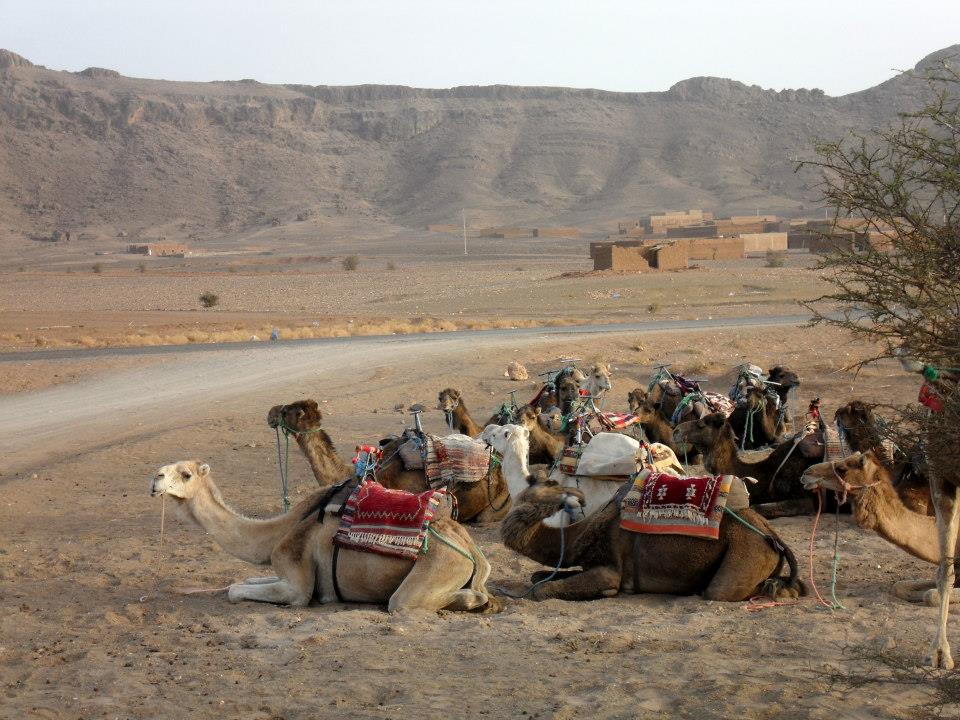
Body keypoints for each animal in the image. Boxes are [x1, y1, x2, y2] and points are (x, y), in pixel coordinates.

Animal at [148, 462, 502, 612]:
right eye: (164, 467)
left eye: (186, 474)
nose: (155, 479)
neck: (278, 531)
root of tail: (471, 550)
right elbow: (244, 581)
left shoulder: (296, 582)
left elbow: (236, 591)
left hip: (440, 564)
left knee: (404, 602)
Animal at [498, 472, 808, 600]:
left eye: (543, 487)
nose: (575, 495)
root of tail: (771, 535)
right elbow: (537, 577)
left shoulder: (611, 567)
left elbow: (539, 591)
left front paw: (606, 592)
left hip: (747, 549)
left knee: (721, 591)